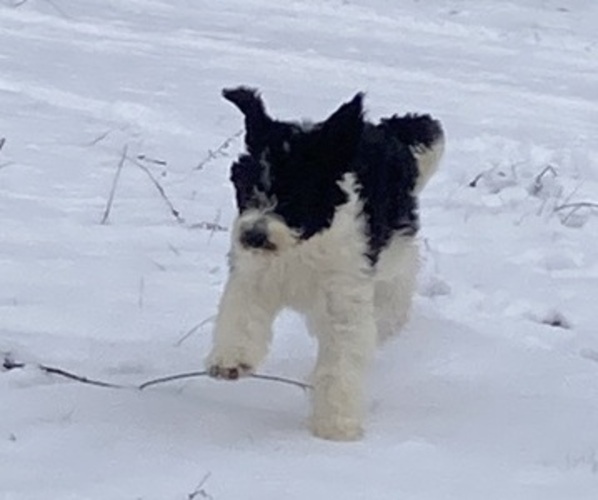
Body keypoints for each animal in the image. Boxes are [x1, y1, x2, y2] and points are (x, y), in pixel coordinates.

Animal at [207, 87, 446, 442]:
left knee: (397, 289)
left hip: (395, 247)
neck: (301, 247)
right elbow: (242, 313)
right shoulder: (255, 275)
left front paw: (335, 426)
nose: (253, 236)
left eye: (294, 195)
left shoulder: (344, 297)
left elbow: (341, 361)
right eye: (247, 188)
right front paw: (231, 360)